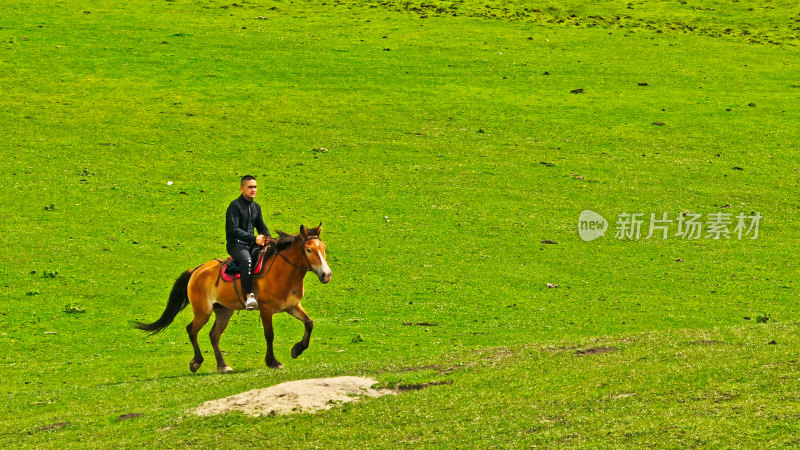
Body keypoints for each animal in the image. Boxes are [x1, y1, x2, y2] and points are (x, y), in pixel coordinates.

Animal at [136, 224, 330, 372]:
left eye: (323, 249)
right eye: (309, 249)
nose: (326, 275)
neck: (282, 272)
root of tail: (196, 271)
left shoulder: (292, 306)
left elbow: (309, 323)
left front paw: (297, 350)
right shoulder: (266, 309)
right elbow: (269, 334)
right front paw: (273, 362)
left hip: (224, 311)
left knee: (213, 335)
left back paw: (223, 366)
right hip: (203, 312)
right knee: (191, 330)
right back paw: (196, 362)